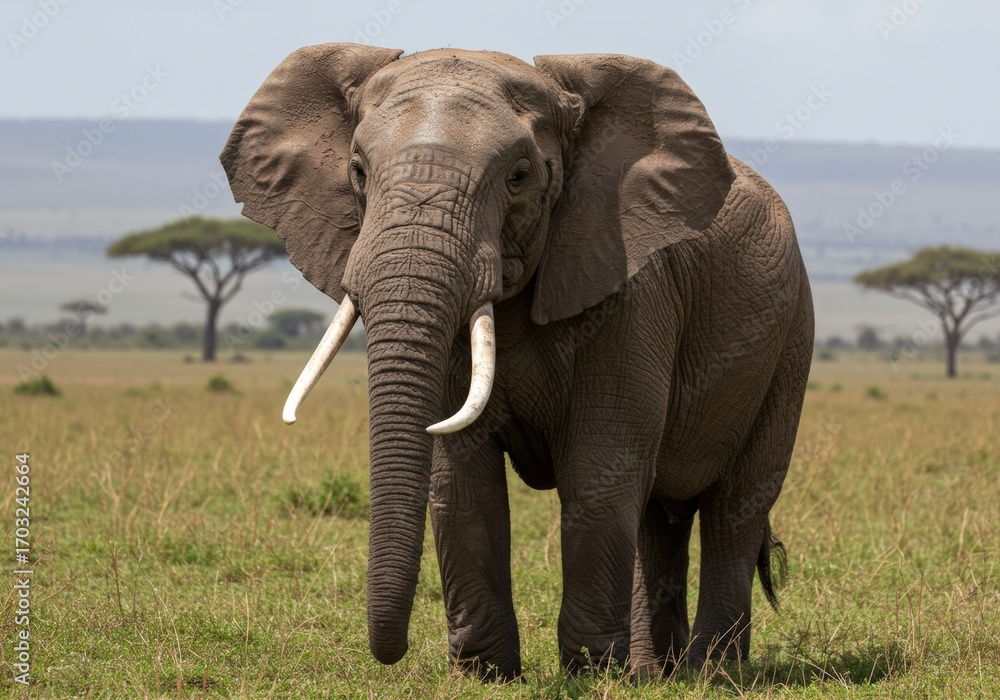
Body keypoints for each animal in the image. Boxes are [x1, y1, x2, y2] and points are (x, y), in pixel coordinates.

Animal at [221, 43, 814, 681]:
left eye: (519, 176)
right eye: (357, 170)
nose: (390, 652)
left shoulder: (629, 280)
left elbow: (599, 471)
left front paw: (591, 674)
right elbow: (461, 479)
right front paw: (485, 674)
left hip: (791, 342)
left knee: (734, 507)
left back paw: (711, 672)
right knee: (657, 515)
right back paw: (658, 672)